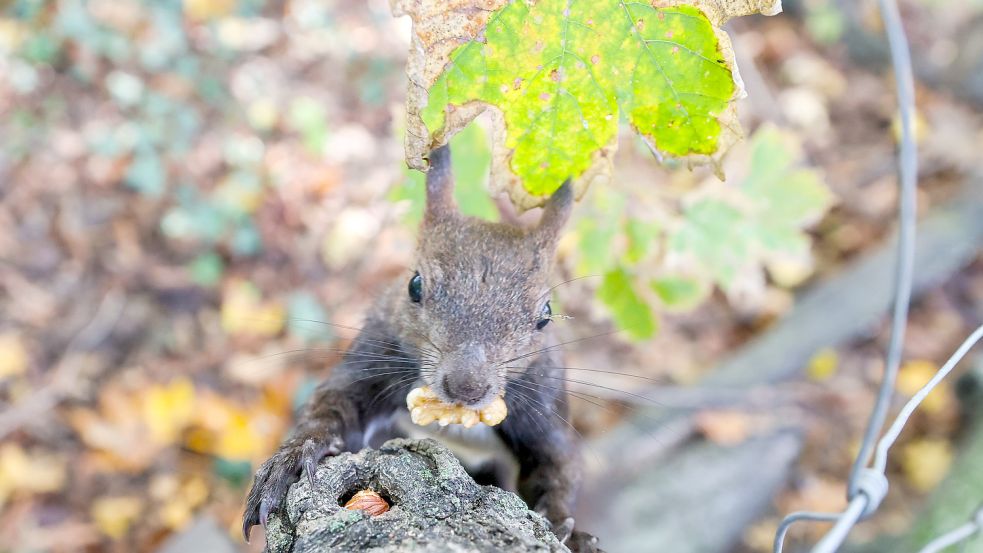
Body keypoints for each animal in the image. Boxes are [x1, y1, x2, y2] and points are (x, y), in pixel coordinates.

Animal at [244, 144, 600, 548]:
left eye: (546, 315)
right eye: (414, 285)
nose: (466, 387)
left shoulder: (544, 403)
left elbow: (558, 464)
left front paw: (565, 528)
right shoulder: (374, 357)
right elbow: (333, 404)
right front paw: (296, 455)